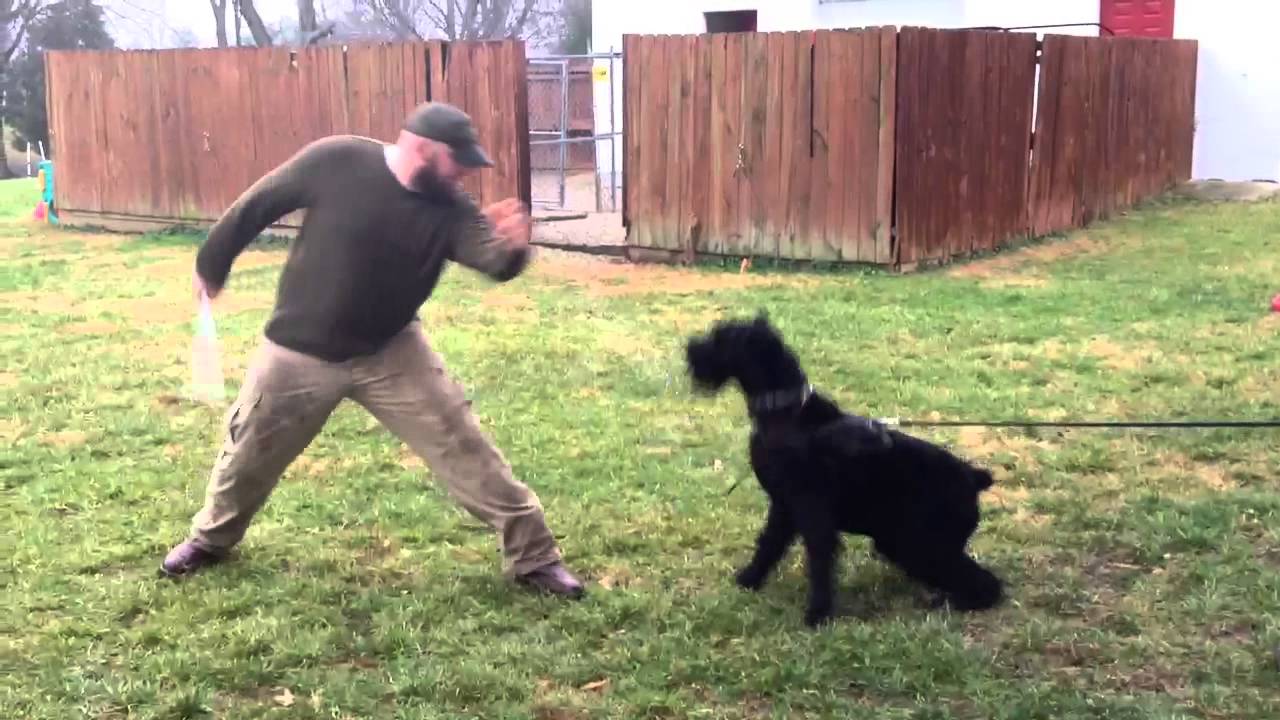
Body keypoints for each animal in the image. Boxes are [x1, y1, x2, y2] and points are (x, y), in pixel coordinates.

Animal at [686, 312, 1003, 622]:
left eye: (720, 338)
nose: (690, 348)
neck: (787, 414)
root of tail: (973, 477)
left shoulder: (812, 511)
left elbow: (819, 560)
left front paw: (817, 613)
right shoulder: (784, 506)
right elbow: (769, 545)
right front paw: (749, 580)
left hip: (924, 545)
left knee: (987, 584)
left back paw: (954, 602)